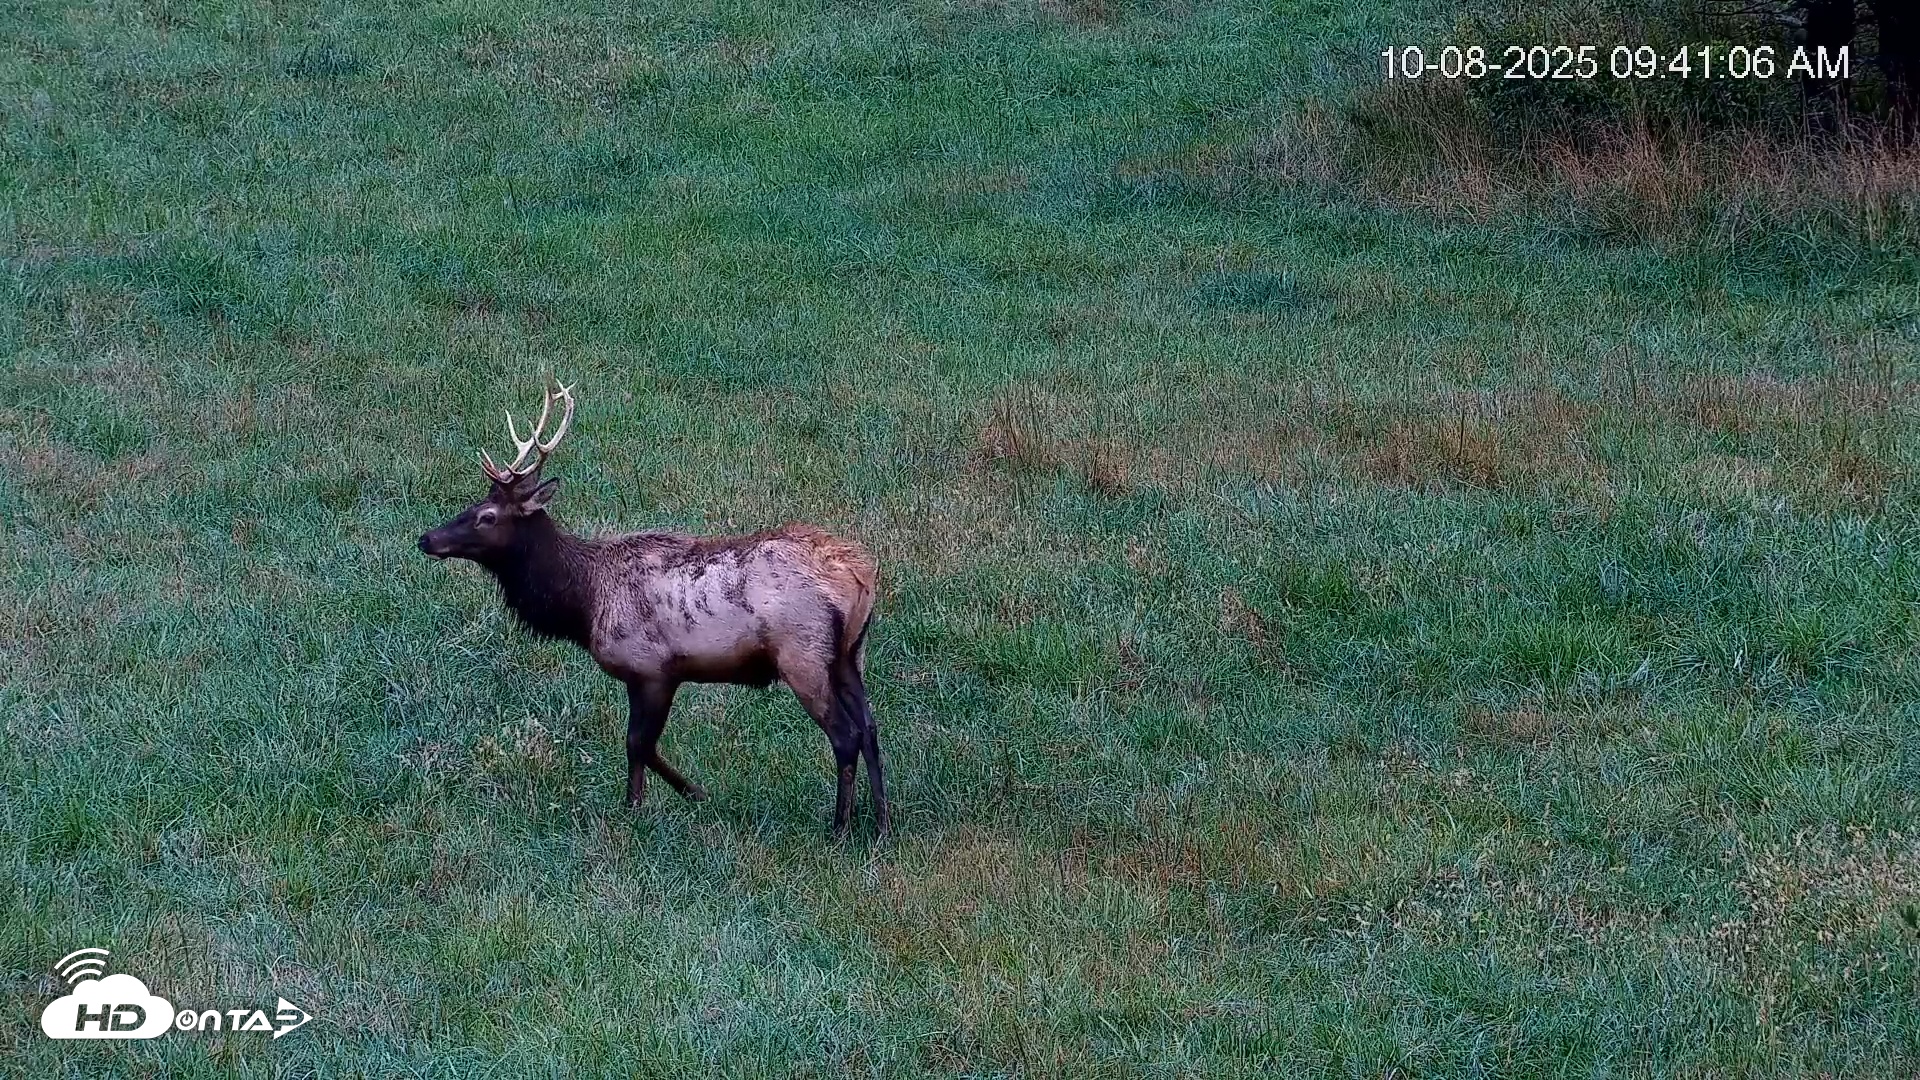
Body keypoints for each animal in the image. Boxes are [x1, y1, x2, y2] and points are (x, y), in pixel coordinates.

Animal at [417, 378, 889, 838]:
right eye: (471, 505)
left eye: (488, 516)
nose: (426, 538)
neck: (583, 604)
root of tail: (861, 577)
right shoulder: (641, 675)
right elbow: (643, 745)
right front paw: (690, 795)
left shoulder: (653, 668)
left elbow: (637, 744)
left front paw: (644, 806)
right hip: (849, 654)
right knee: (870, 728)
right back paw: (882, 822)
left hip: (802, 653)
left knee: (845, 734)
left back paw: (840, 828)